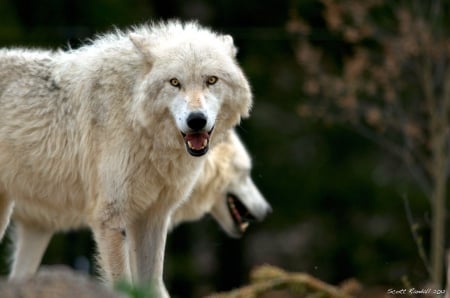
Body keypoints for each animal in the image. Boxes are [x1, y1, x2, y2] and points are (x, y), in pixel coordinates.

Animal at [0, 19, 251, 296]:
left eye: (211, 80)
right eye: (174, 82)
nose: (196, 120)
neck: (135, 118)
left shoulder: (152, 218)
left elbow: (152, 284)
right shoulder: (110, 218)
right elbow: (123, 283)